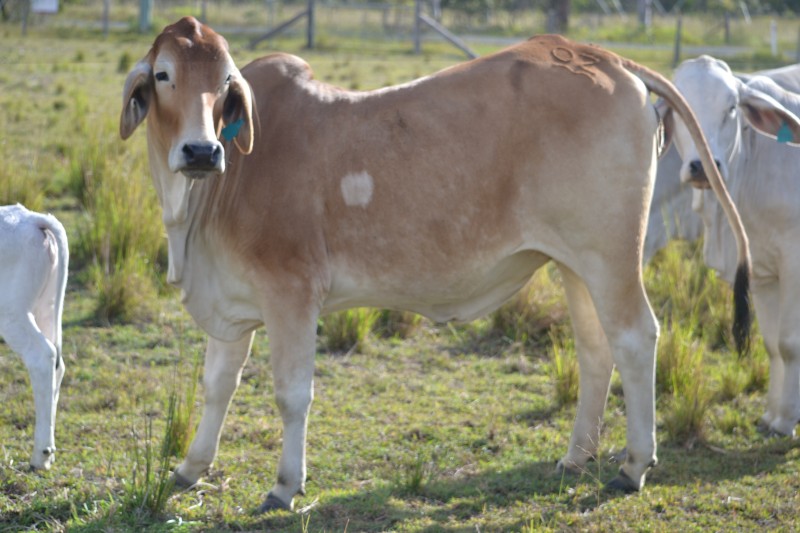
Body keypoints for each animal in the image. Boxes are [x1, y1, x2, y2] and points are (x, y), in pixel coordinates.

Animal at [0, 204, 69, 470]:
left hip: (12, 313)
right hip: (45, 308)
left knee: (41, 357)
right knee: (57, 364)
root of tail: (31, 218)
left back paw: (41, 455)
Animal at [120, 17, 758, 512]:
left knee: (637, 337)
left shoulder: (291, 293)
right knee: (596, 350)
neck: (206, 199)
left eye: (226, 81)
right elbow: (216, 386)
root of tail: (603, 57)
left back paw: (633, 465)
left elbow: (291, 392)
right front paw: (190, 468)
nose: (202, 150)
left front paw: (284, 486)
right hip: (576, 263)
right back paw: (575, 457)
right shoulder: (232, 303)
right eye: (164, 74)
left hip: (612, 255)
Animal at [668, 56, 800, 437]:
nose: (703, 165)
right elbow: (772, 345)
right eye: (678, 109)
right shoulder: (763, 273)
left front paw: (787, 419)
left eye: (731, 108)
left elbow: (789, 343)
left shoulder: (794, 262)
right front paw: (772, 415)